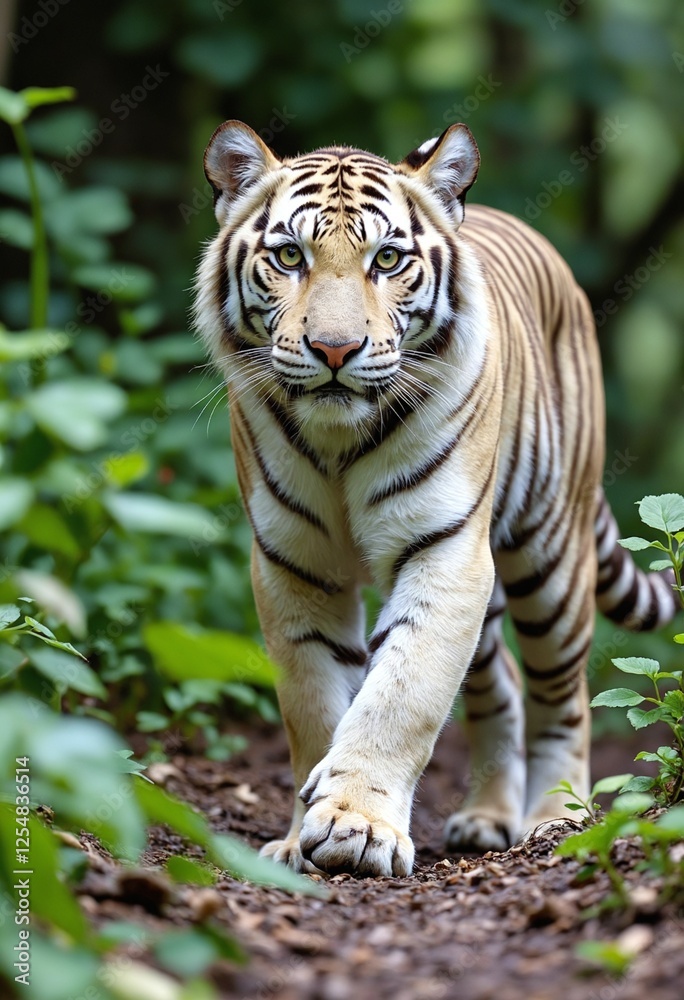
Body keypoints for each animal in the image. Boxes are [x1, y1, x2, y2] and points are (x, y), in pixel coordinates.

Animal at [194, 119, 679, 878]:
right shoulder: (293, 566)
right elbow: (313, 704)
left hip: (551, 557)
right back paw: (487, 817)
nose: (335, 350)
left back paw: (557, 820)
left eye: (388, 259)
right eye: (289, 255)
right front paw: (303, 834)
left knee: (562, 695)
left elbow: (403, 694)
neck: (338, 443)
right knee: (500, 680)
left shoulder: (447, 551)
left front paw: (357, 827)